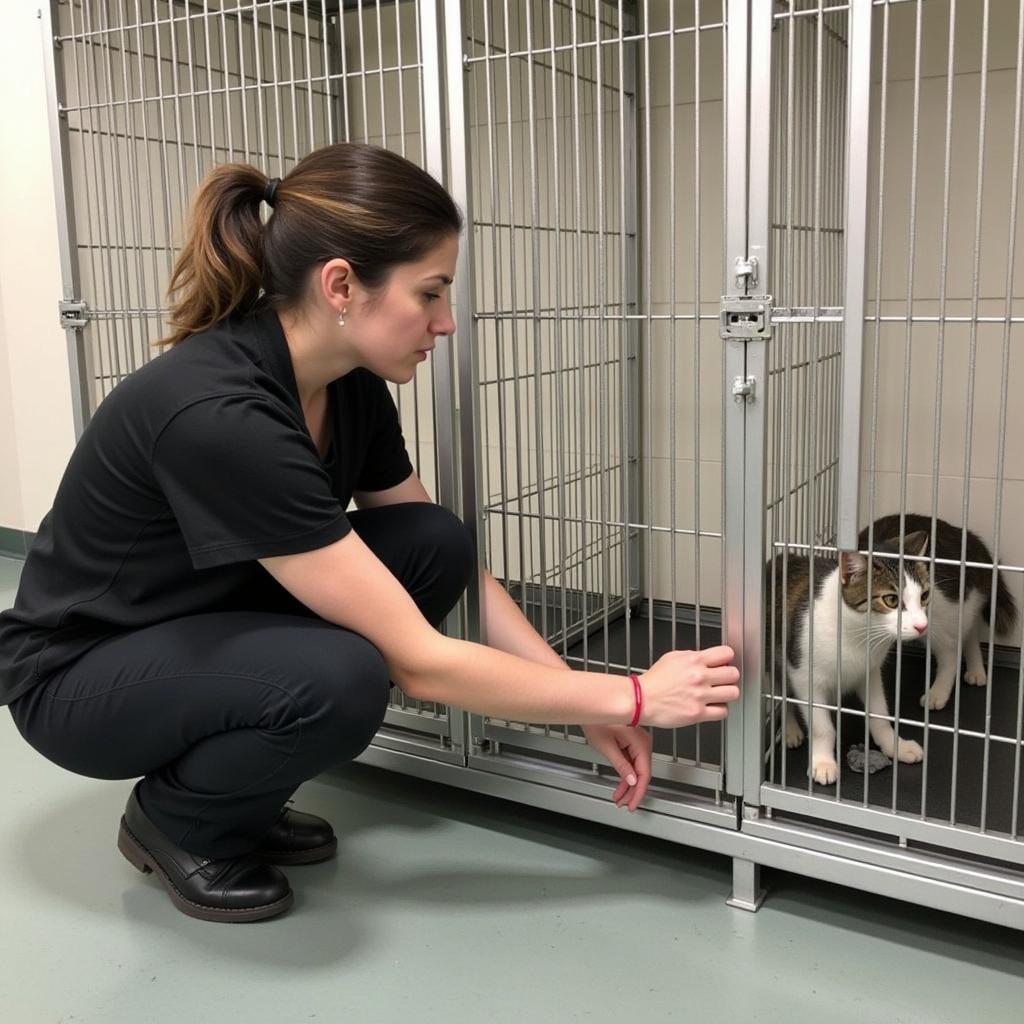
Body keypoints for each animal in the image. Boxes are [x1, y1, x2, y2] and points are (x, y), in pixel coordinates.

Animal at [770, 532, 929, 786]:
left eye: (924, 596)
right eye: (891, 600)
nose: (922, 626)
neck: (858, 637)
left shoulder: (870, 671)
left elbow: (879, 713)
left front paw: (895, 746)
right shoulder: (804, 674)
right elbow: (822, 726)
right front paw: (823, 762)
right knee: (780, 690)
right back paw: (790, 729)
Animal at [856, 512, 1015, 712]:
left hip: (940, 613)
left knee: (951, 652)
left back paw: (937, 693)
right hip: (964, 606)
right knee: (969, 632)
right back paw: (976, 670)